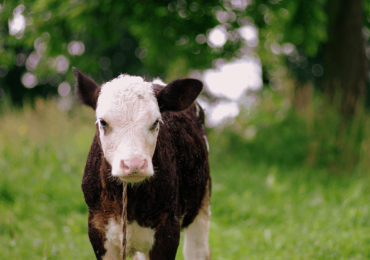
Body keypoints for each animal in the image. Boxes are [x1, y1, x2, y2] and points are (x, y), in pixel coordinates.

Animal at [72, 68, 211, 260]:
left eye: (156, 122)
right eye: (103, 122)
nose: (134, 164)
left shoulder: (168, 229)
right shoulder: (97, 227)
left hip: (200, 201)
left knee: (196, 250)